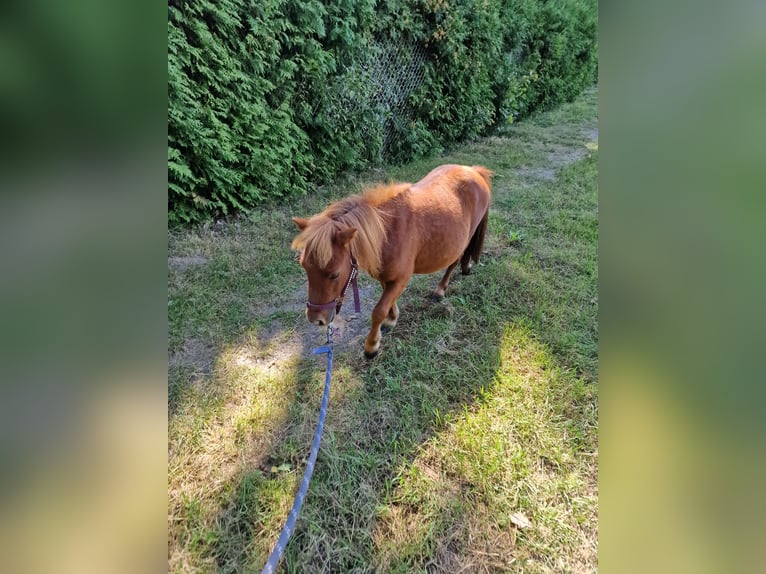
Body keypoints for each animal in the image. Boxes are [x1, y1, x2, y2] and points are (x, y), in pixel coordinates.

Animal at [292, 164, 496, 358]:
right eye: (304, 267)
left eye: (334, 275)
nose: (316, 319)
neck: (387, 232)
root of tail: (474, 171)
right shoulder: (385, 277)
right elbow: (387, 301)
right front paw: (392, 319)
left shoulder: (401, 279)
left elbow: (378, 311)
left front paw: (372, 346)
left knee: (454, 261)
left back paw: (440, 289)